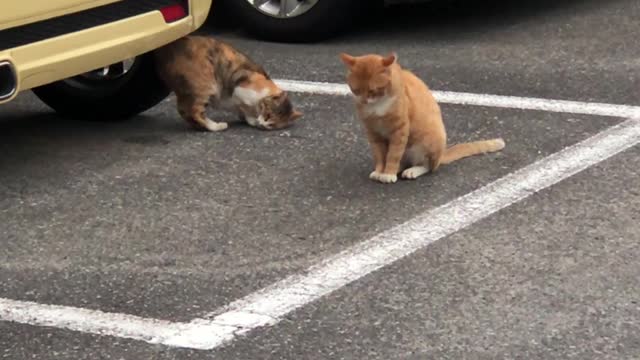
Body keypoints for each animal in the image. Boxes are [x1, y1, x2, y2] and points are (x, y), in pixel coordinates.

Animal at [156, 34, 304, 131]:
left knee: (185, 111)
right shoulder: (241, 87)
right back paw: (217, 126)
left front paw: (251, 120)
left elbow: (245, 114)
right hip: (206, 84)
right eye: (268, 115)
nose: (263, 124)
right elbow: (242, 101)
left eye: (272, 124)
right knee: (194, 111)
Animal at [338, 52, 508, 184]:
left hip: (428, 140)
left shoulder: (400, 130)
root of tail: (441, 155)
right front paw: (380, 170)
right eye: (356, 90)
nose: (363, 101)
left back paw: (412, 170)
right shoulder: (373, 132)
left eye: (373, 90)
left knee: (428, 166)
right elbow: (379, 154)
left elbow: (393, 153)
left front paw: (388, 173)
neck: (377, 107)